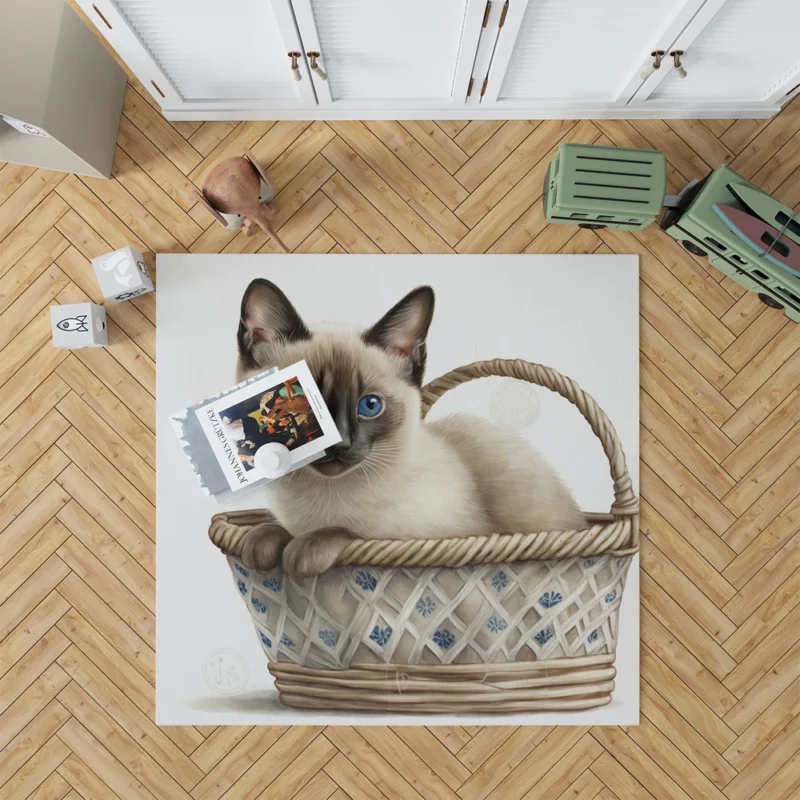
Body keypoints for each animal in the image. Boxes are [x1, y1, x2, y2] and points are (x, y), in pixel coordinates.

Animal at [231, 280, 580, 576]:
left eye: (370, 406)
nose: (340, 445)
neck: (321, 500)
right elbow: (274, 529)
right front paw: (262, 542)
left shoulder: (456, 536)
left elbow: (357, 532)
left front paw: (304, 549)